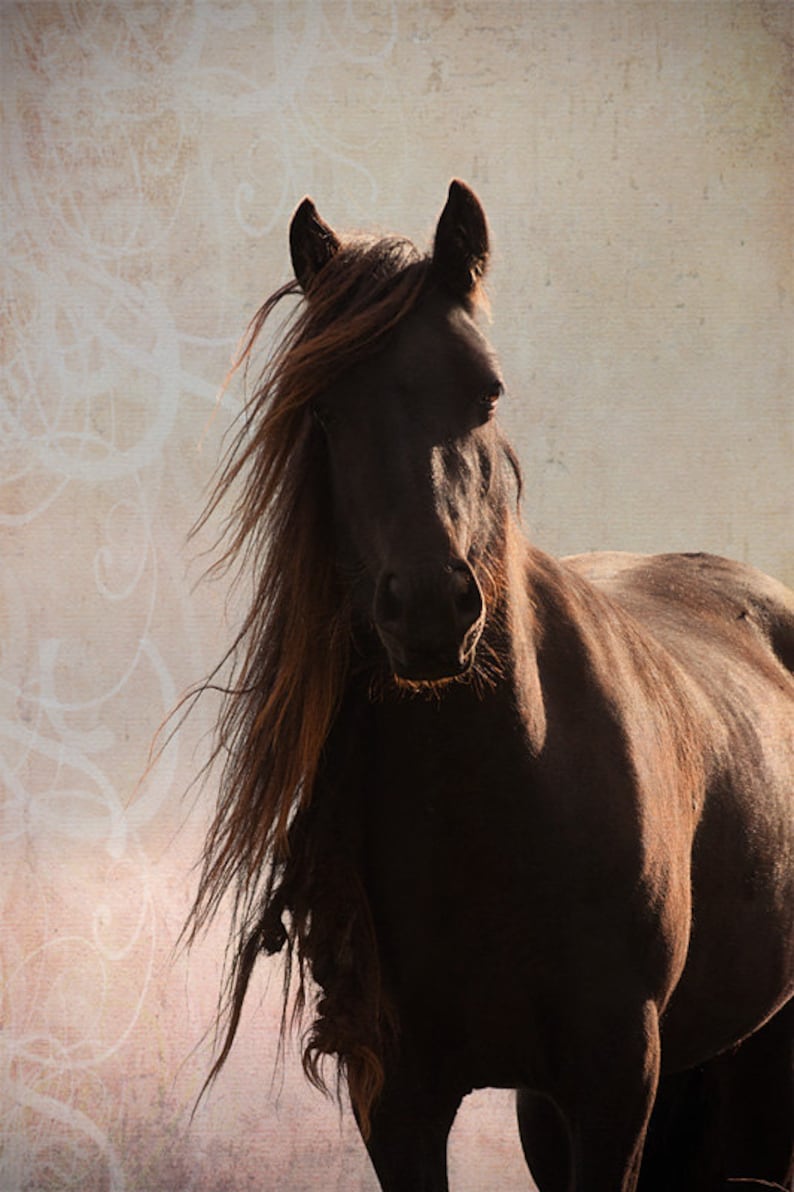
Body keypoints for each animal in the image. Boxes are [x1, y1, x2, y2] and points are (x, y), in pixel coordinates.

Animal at [188, 181, 794, 1191]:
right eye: (326, 413)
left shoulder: (615, 1080)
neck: (496, 804)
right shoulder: (397, 1099)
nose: (432, 607)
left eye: (487, 391)